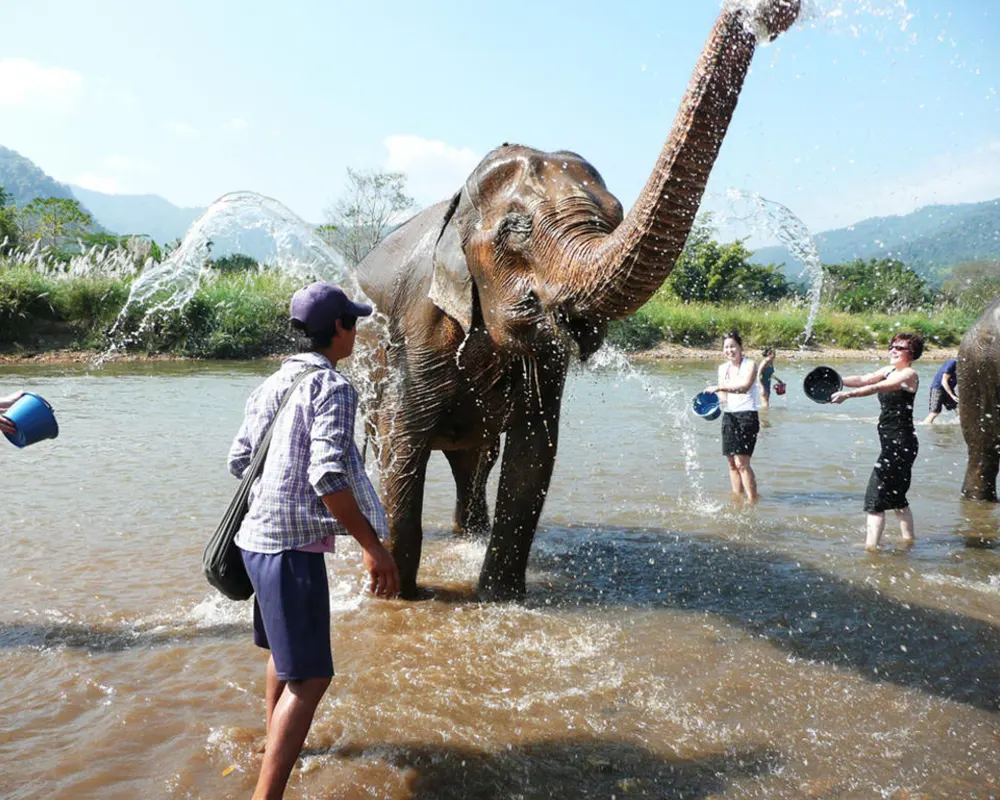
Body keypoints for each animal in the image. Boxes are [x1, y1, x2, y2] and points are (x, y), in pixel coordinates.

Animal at [355, 0, 801, 601]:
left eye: (614, 218)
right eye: (517, 229)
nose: (770, 12)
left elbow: (534, 457)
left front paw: (500, 601)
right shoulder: (414, 333)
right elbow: (403, 449)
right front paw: (393, 598)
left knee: (477, 461)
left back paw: (469, 536)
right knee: (388, 445)